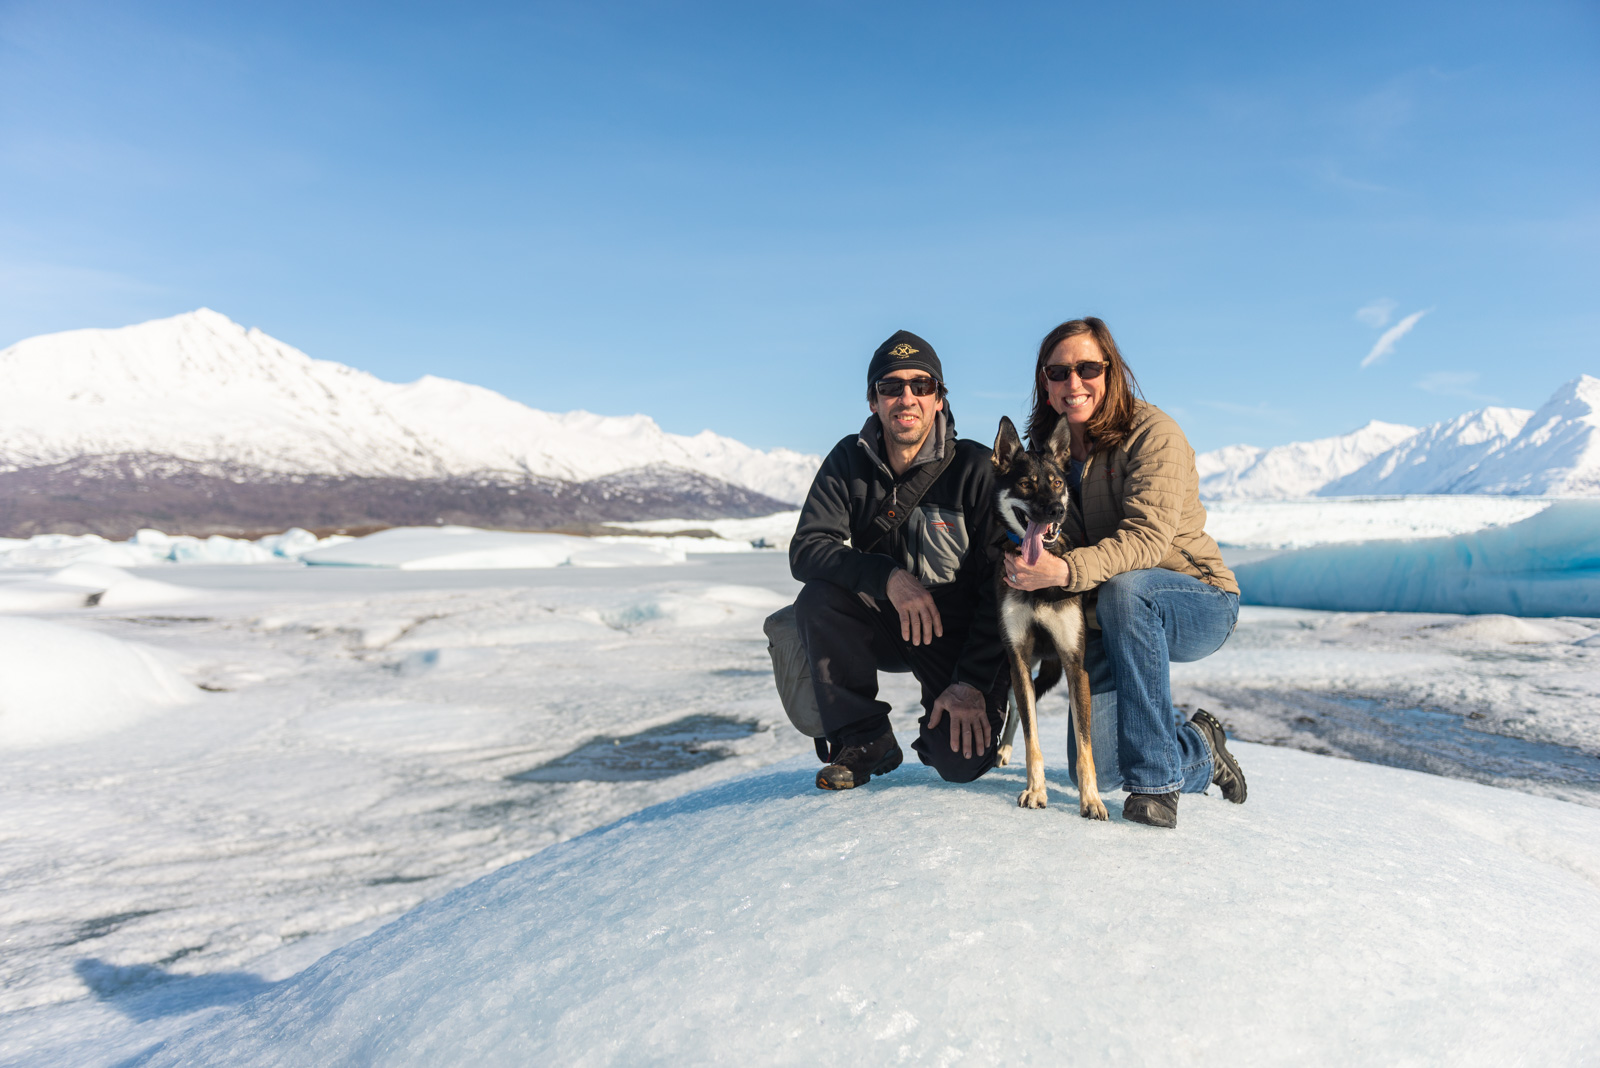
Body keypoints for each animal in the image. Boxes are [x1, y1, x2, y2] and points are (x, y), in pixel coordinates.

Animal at [979, 415, 1107, 818]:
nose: (1055, 510)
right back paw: (1003, 750)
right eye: (1025, 483)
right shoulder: (1018, 655)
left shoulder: (1073, 661)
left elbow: (1084, 745)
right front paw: (1036, 791)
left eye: (1056, 483)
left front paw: (1091, 800)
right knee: (1020, 707)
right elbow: (1031, 732)